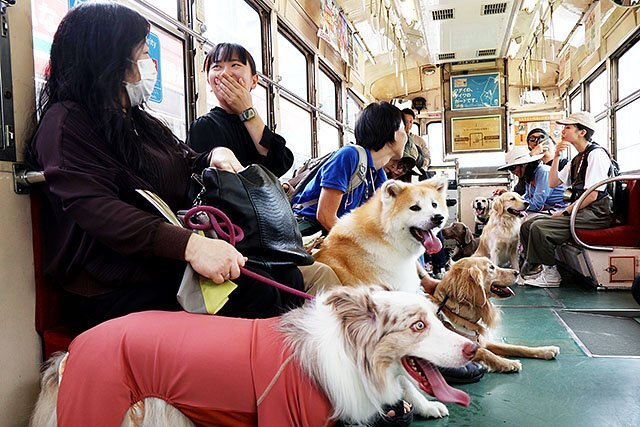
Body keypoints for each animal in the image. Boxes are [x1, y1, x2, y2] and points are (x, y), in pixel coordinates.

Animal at [430, 256, 560, 372]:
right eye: (491, 267)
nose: (517, 272)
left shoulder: (483, 341)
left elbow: (515, 347)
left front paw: (545, 350)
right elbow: (485, 352)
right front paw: (508, 363)